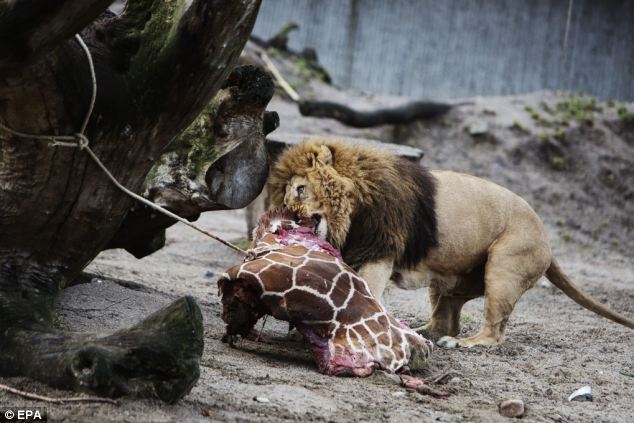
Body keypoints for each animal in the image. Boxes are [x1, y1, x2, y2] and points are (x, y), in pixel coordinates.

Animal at [268, 139, 632, 348]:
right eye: (285, 198)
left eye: (300, 190)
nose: (290, 217)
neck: (352, 209)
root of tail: (547, 239)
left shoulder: (380, 252)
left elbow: (365, 291)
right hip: (450, 280)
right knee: (447, 320)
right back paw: (423, 332)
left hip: (505, 267)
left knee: (494, 332)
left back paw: (466, 344)